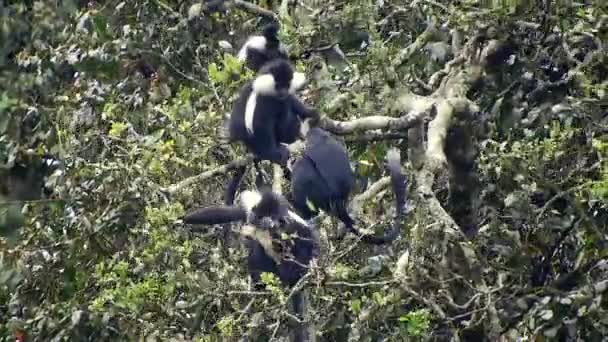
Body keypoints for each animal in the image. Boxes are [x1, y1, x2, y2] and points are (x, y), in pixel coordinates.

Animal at [182, 188, 318, 340]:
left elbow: (309, 239)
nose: (265, 221)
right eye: (261, 215)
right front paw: (181, 219)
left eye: (270, 217)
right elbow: (228, 213)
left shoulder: (290, 225)